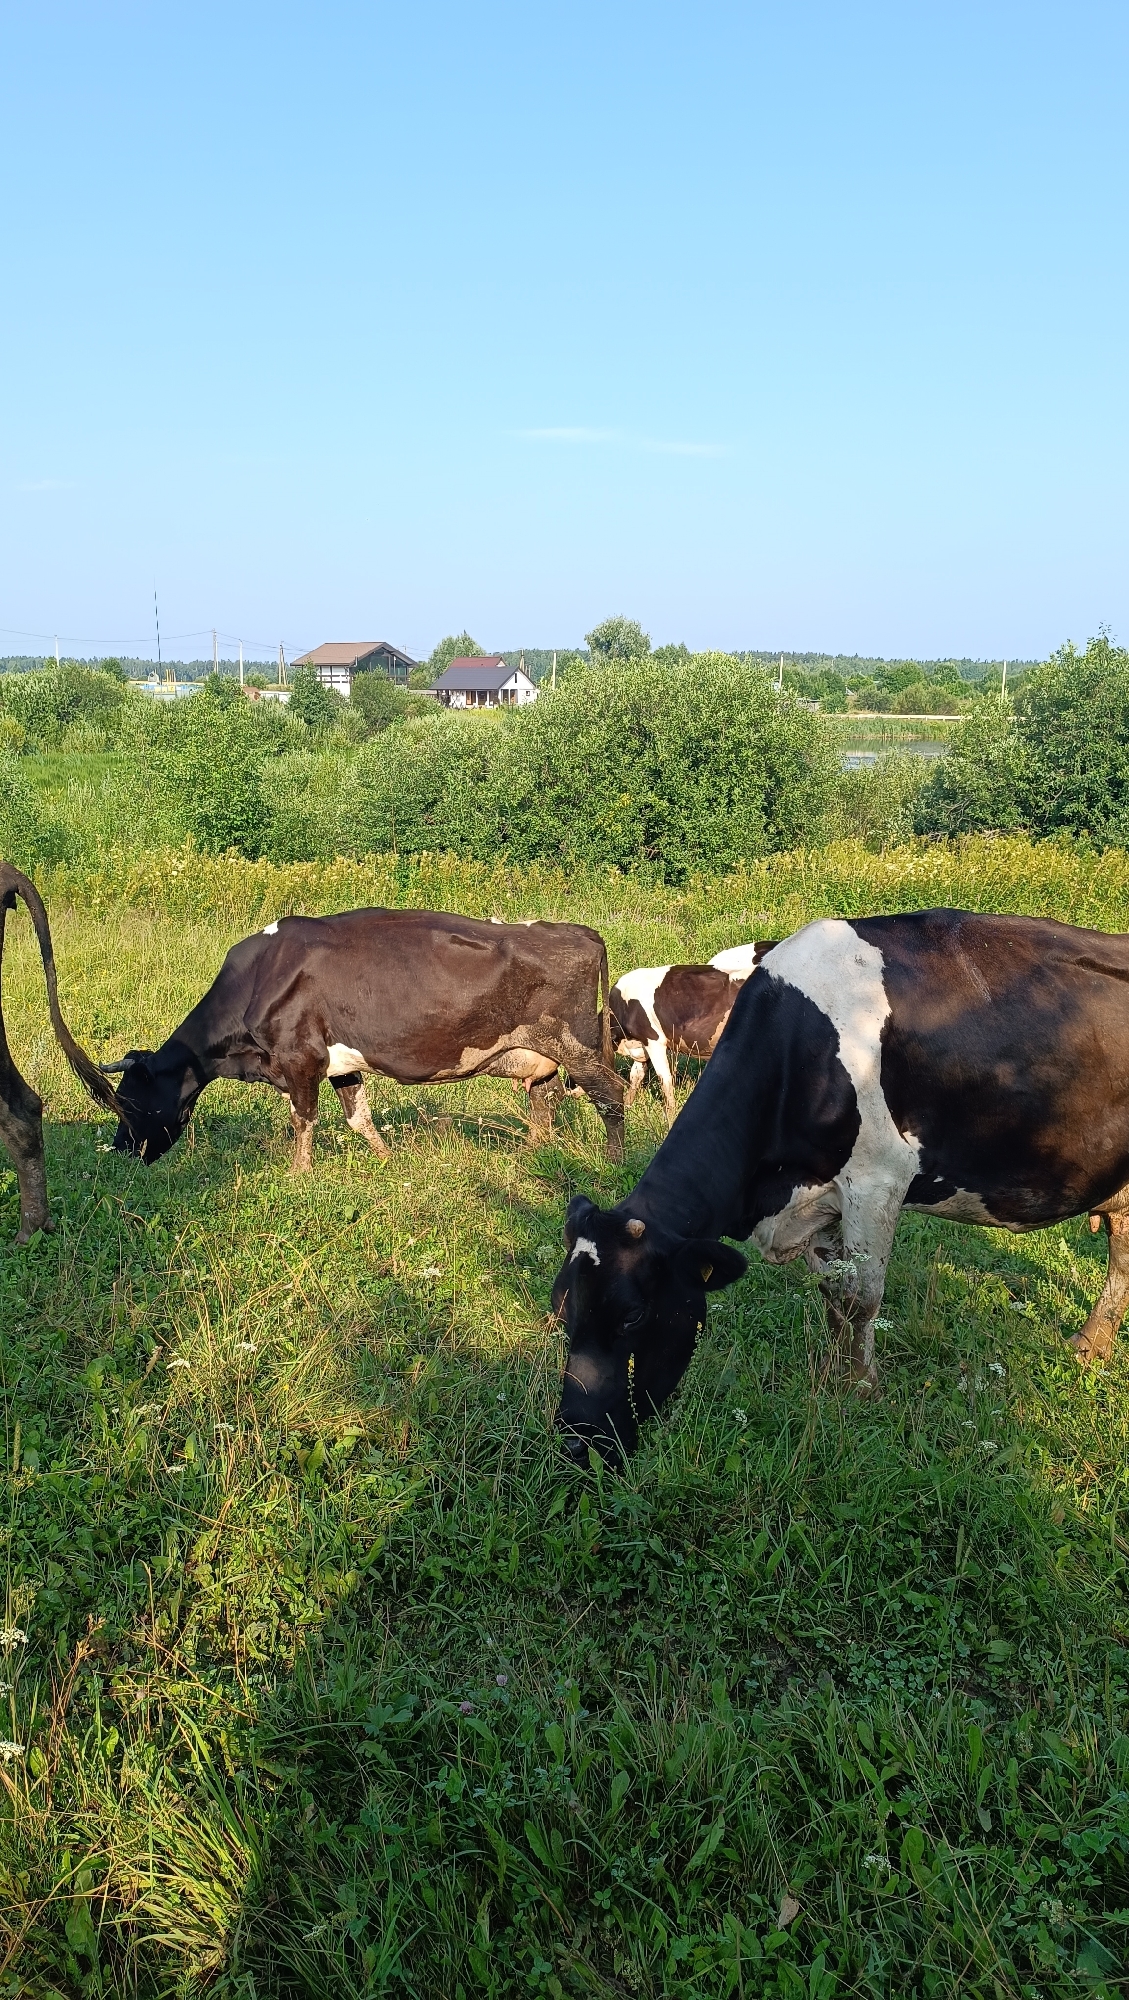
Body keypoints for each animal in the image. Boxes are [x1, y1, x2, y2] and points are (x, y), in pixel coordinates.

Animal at [101, 908, 624, 1169]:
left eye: (128, 1102)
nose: (121, 1149)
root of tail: (580, 931)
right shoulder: (340, 1063)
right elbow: (358, 1118)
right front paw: (389, 1162)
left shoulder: (300, 1058)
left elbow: (303, 1120)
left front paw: (299, 1175)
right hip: (541, 1053)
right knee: (545, 1102)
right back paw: (532, 1155)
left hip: (575, 1045)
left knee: (611, 1095)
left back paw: (612, 1163)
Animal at [609, 942, 775, 1121]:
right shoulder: (640, 1045)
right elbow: (636, 1075)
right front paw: (626, 1106)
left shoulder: (653, 1040)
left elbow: (665, 1079)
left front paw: (670, 1117)